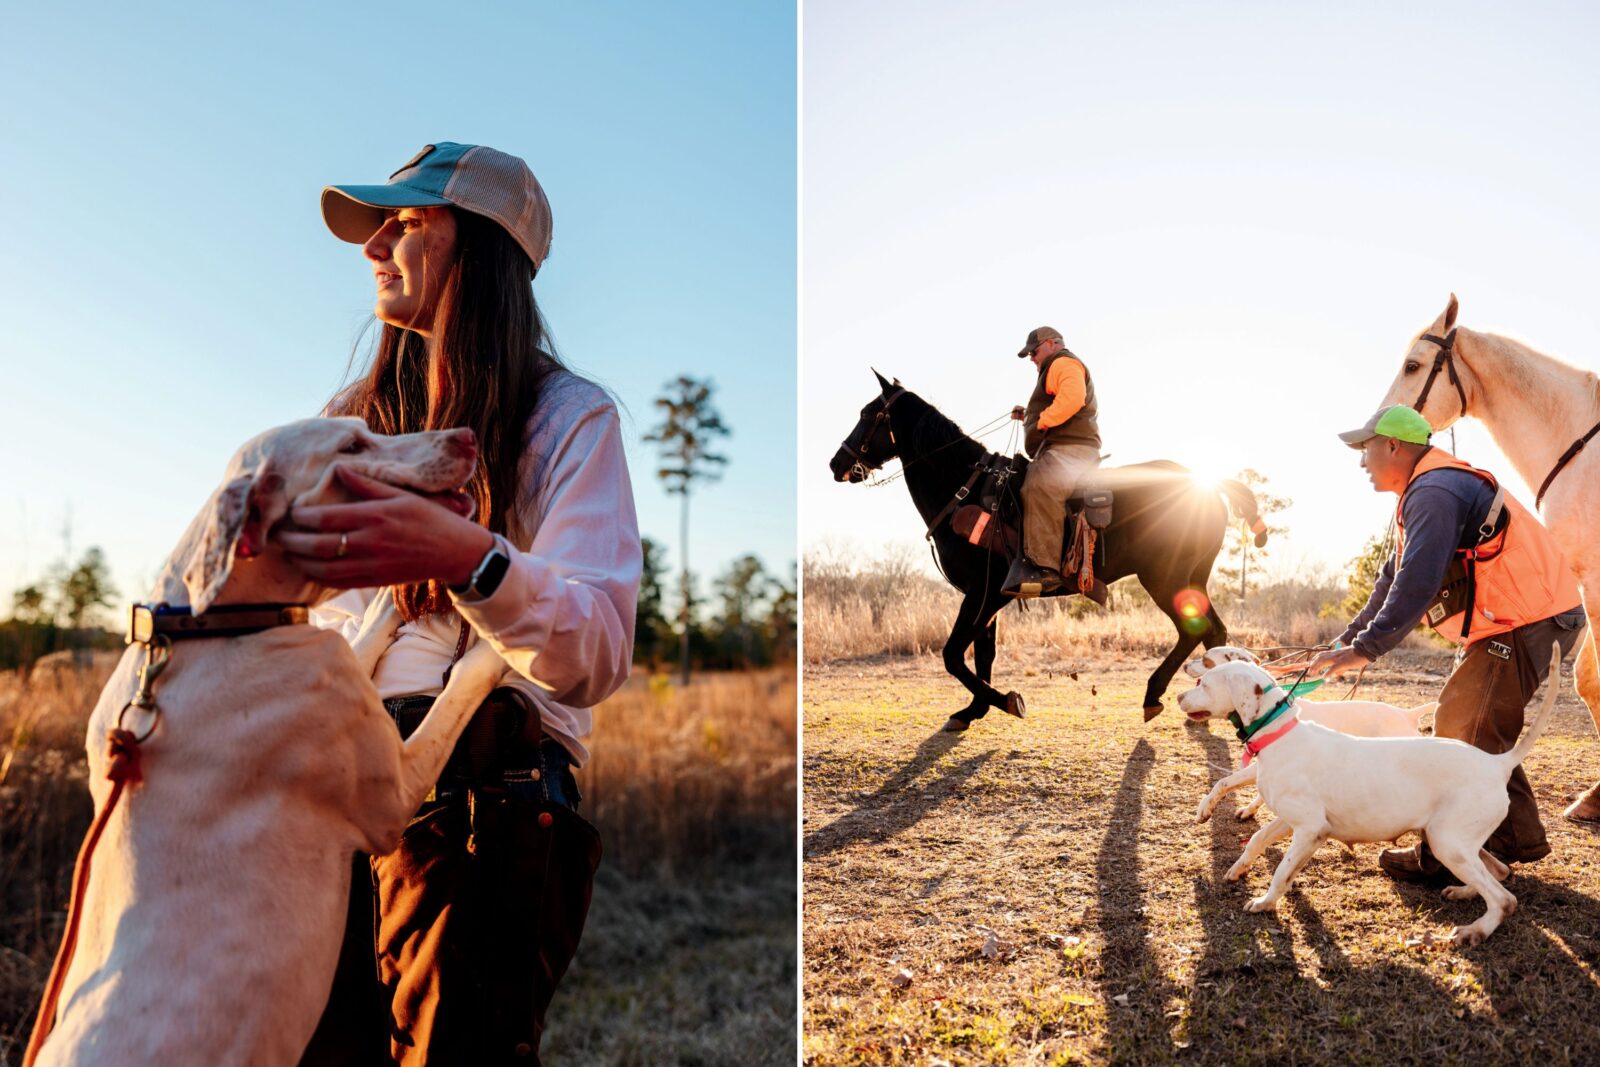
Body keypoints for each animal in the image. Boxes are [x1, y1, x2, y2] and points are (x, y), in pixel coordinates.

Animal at [32, 415, 505, 1067]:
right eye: (351, 446)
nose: (465, 438)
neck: (208, 623)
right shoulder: (393, 788)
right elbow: (459, 686)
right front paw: (500, 651)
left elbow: (368, 637)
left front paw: (389, 603)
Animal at [832, 371, 1267, 729]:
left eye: (868, 414)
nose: (837, 463)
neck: (966, 490)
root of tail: (1205, 484)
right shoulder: (987, 598)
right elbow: (983, 654)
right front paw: (973, 710)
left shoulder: (981, 594)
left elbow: (954, 654)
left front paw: (1007, 701)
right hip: (1191, 580)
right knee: (1215, 632)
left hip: (1165, 579)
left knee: (1193, 631)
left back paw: (1153, 694)